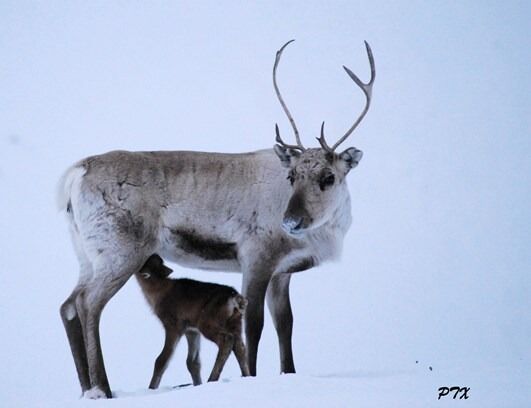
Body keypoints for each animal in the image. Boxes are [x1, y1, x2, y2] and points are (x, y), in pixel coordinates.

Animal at [134, 253, 250, 388]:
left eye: (145, 261)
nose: (154, 253)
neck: (157, 293)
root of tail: (237, 299)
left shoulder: (174, 324)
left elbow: (162, 360)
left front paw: (152, 388)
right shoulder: (191, 330)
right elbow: (193, 362)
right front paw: (197, 383)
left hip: (207, 321)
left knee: (226, 339)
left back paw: (212, 379)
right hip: (236, 322)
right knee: (240, 347)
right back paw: (247, 376)